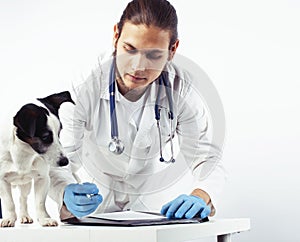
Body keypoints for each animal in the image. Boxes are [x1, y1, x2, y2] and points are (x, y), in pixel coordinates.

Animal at [0, 91, 74, 227]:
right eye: (45, 137)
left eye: (59, 133)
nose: (65, 162)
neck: (24, 153)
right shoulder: (2, 180)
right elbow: (9, 203)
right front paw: (9, 218)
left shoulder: (42, 178)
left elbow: (40, 202)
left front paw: (44, 219)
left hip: (25, 184)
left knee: (22, 198)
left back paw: (24, 216)